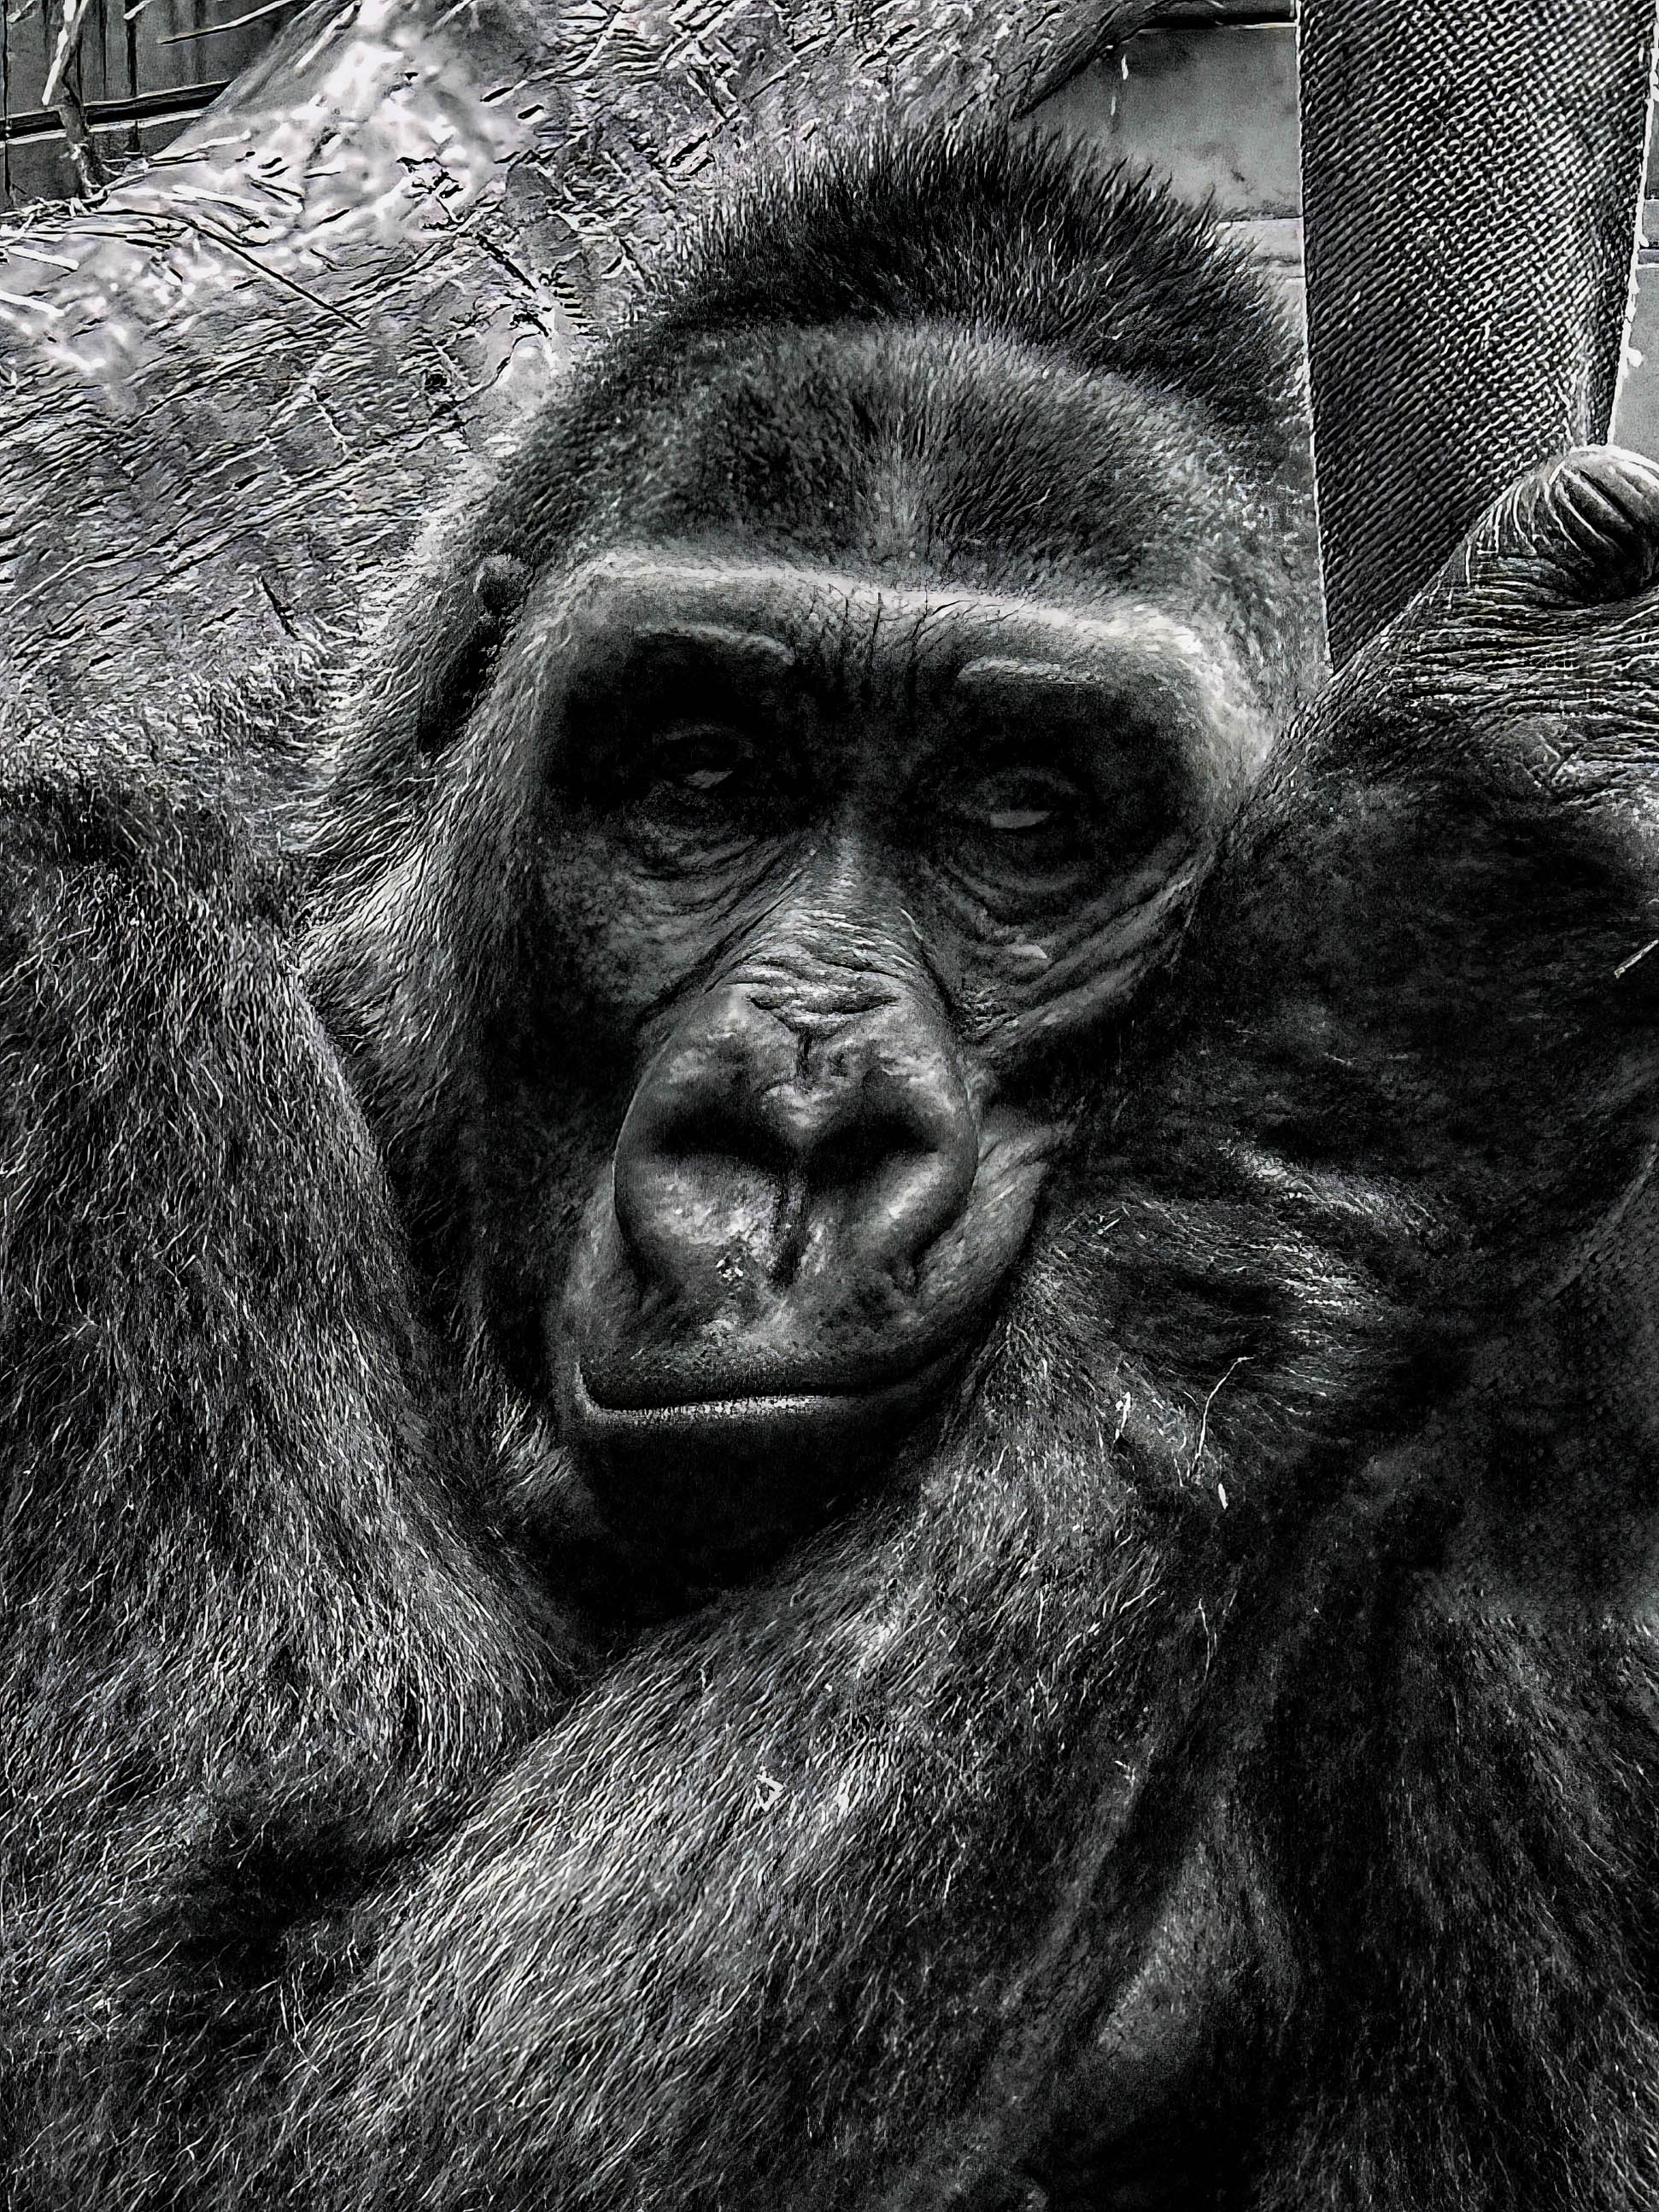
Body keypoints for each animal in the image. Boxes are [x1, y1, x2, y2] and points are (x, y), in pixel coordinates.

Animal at [3, 127, 1659, 2212]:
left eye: (1024, 817)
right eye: (701, 778)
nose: (796, 1134)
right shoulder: (77, 1002)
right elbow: (182, 2066)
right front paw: (1403, 977)